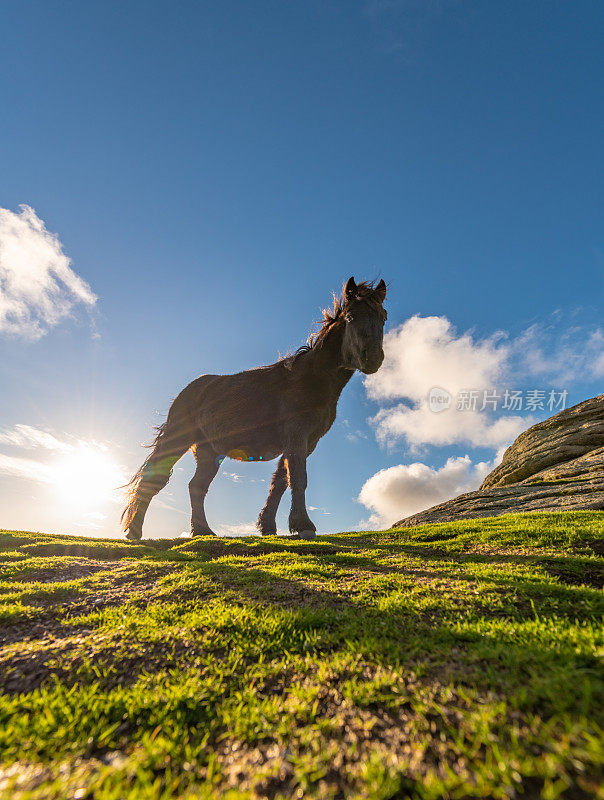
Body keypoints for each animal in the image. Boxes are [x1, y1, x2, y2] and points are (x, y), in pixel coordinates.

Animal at [122, 278, 386, 540]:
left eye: (382, 317)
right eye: (351, 316)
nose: (372, 357)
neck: (313, 378)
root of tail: (191, 389)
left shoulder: (307, 441)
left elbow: (280, 482)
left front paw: (268, 526)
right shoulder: (297, 436)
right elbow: (298, 478)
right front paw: (304, 525)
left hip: (209, 451)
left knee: (196, 486)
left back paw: (202, 530)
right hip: (178, 440)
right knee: (154, 479)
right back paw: (135, 531)